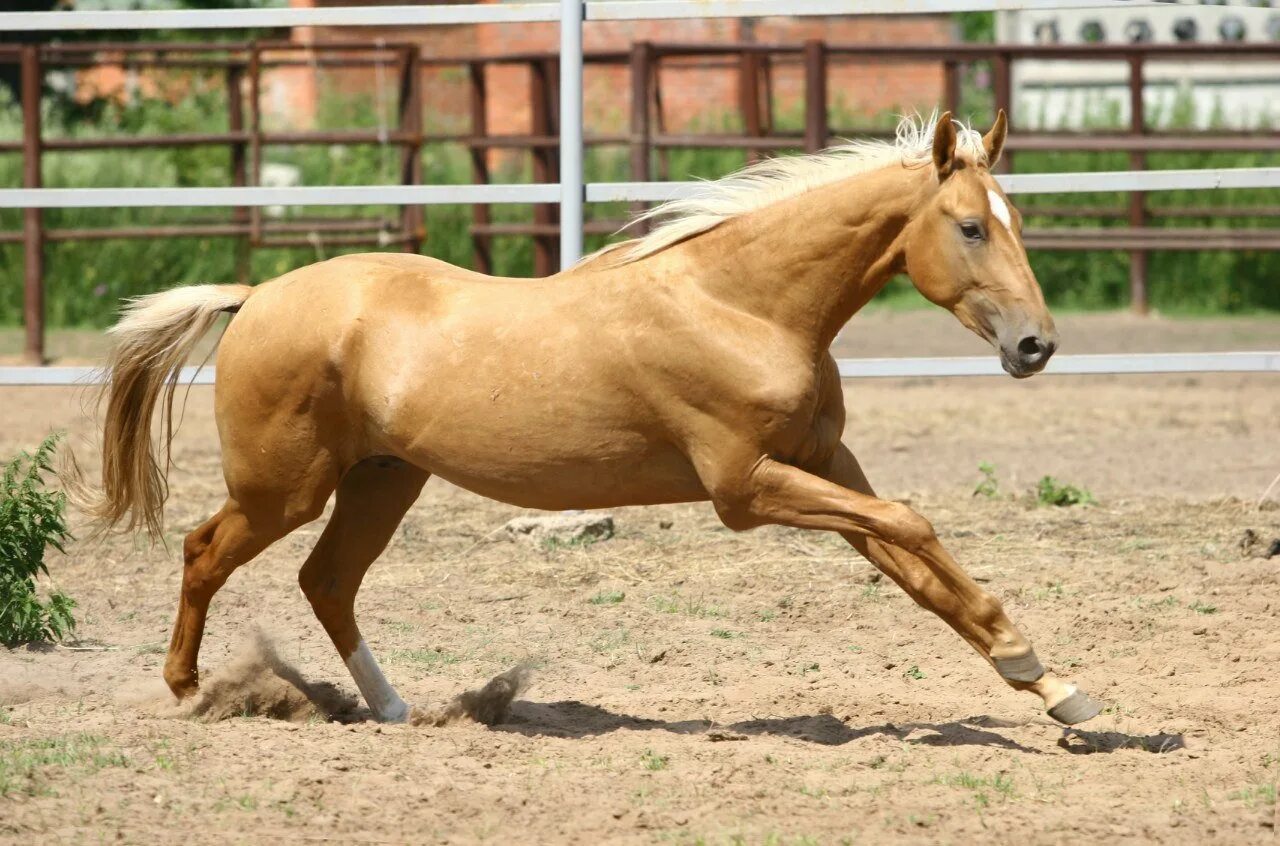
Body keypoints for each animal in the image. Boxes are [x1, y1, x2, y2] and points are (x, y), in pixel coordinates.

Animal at [80, 110, 1100, 726]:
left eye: (1012, 220)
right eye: (970, 226)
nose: (1036, 346)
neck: (742, 304)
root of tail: (255, 296)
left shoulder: (824, 467)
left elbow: (916, 565)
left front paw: (1053, 687)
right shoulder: (746, 489)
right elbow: (913, 527)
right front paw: (1034, 666)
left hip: (383, 481)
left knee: (326, 581)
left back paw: (400, 711)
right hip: (283, 487)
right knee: (205, 551)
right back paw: (188, 690)